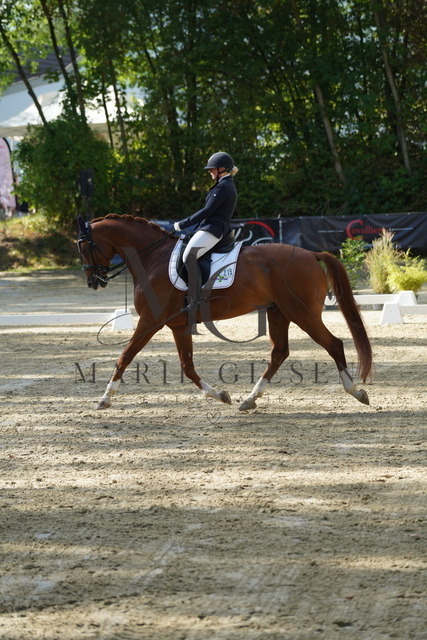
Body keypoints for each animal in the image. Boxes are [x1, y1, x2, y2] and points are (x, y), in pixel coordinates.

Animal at [77, 214, 372, 411]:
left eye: (85, 246)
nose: (93, 282)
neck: (152, 258)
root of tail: (311, 254)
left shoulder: (151, 320)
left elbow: (125, 356)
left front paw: (105, 398)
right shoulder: (178, 325)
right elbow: (188, 366)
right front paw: (220, 395)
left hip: (303, 313)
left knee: (333, 344)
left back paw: (356, 392)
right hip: (279, 312)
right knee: (279, 353)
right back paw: (250, 399)